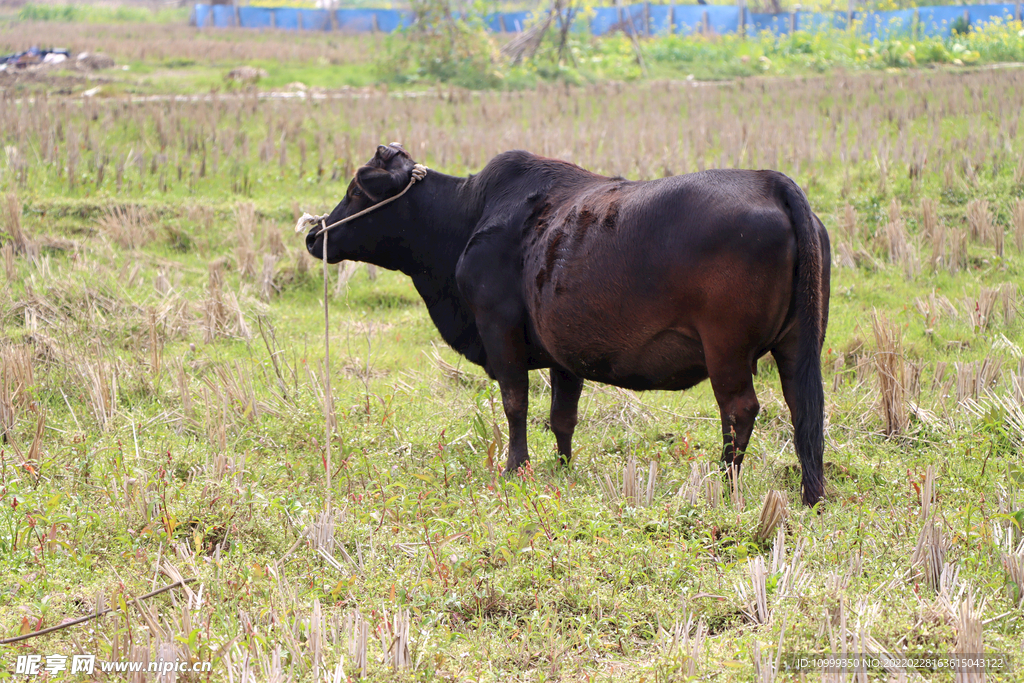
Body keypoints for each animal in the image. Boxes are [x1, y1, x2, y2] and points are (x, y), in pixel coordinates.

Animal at [305, 144, 831, 505]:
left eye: (354, 190)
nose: (314, 234)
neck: (469, 216)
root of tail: (770, 182)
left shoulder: (499, 328)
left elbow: (515, 403)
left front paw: (515, 468)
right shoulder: (564, 351)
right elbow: (562, 417)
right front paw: (562, 468)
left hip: (726, 350)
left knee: (740, 411)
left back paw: (723, 485)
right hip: (798, 345)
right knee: (804, 408)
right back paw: (811, 493)